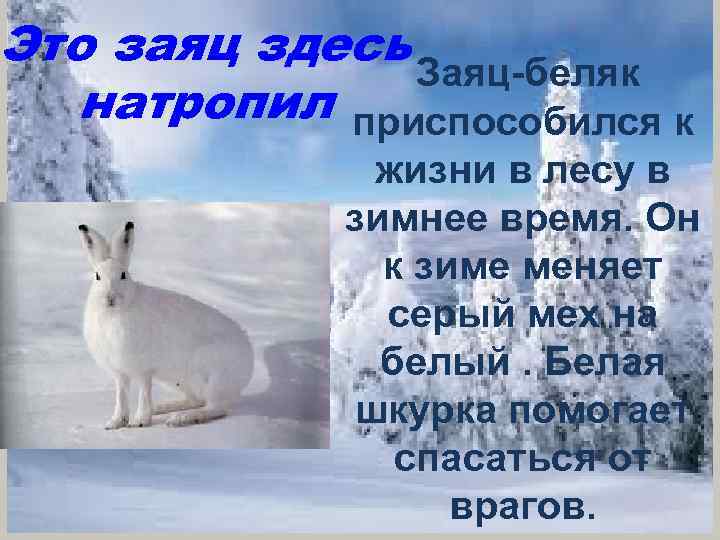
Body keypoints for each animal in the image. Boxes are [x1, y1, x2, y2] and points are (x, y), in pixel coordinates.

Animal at [79, 221, 254, 429]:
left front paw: (139, 421)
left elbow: (143, 392)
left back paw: (182, 418)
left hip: (212, 373)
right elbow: (121, 396)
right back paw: (164, 408)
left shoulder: (143, 368)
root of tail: (248, 366)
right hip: (180, 380)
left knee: (216, 408)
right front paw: (114, 423)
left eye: (123, 275)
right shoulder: (120, 373)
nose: (110, 298)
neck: (114, 312)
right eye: (97, 276)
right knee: (196, 400)